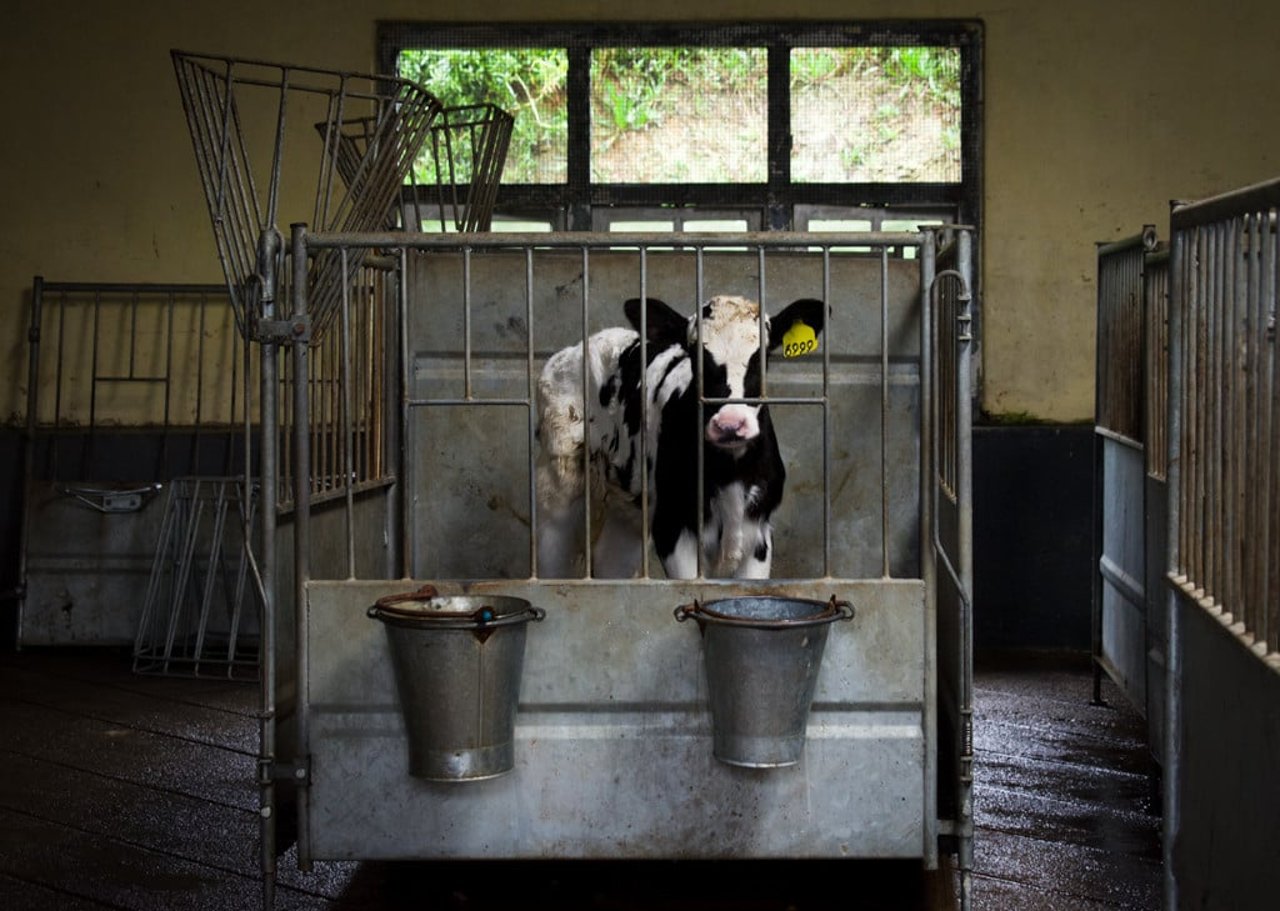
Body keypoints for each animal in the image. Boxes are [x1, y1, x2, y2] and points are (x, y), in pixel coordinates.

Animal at [532, 293, 824, 575]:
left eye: (763, 358)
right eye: (696, 355)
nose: (730, 424)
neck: (730, 474)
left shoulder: (758, 535)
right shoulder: (671, 528)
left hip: (629, 506)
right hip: (558, 483)